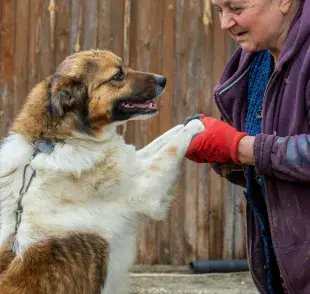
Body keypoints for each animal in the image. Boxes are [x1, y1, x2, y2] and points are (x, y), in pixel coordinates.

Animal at [0, 49, 205, 292]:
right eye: (118, 75)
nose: (162, 80)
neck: (54, 142)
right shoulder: (145, 187)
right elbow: (172, 147)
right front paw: (197, 126)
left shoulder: (132, 163)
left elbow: (161, 140)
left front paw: (188, 122)